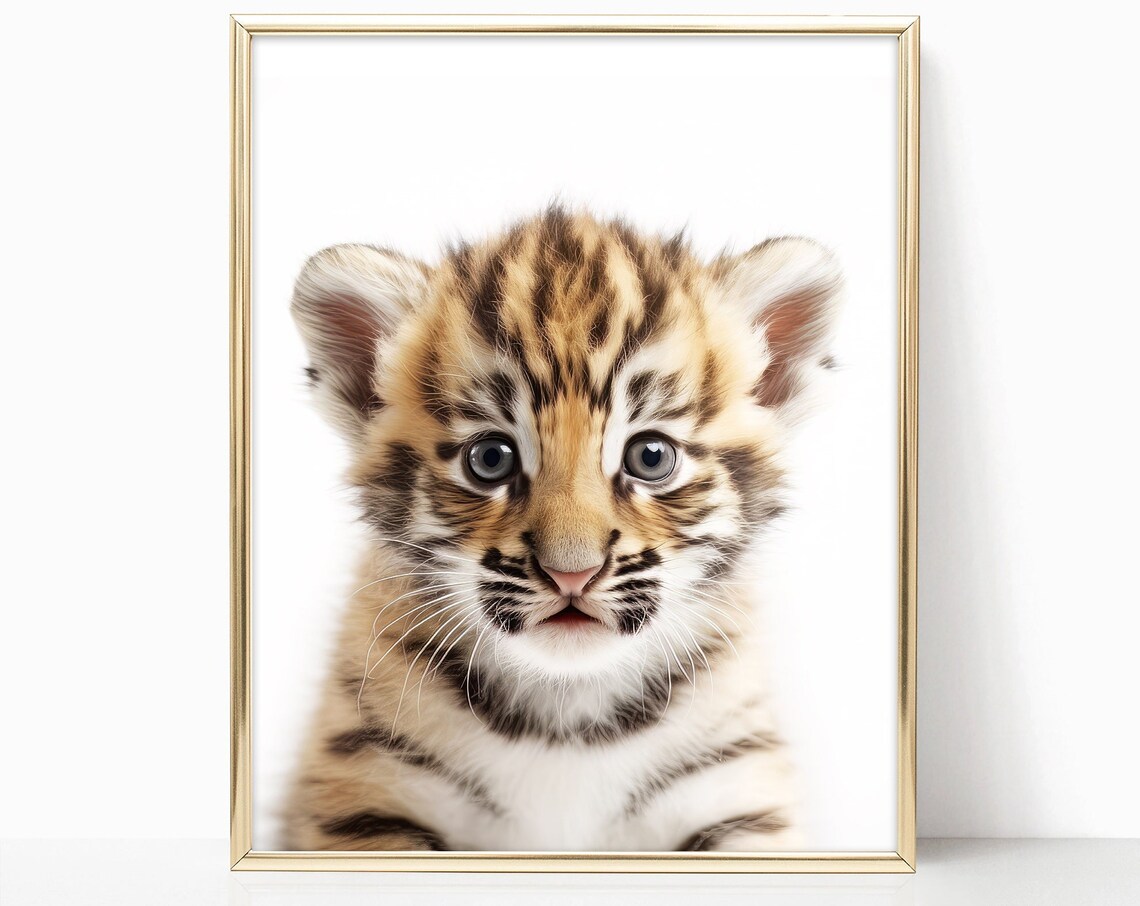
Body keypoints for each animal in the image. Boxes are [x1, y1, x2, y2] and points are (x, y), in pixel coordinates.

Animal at [282, 205, 842, 852]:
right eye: (490, 459)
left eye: (651, 456)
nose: (570, 574)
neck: (566, 710)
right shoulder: (366, 796)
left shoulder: (737, 794)